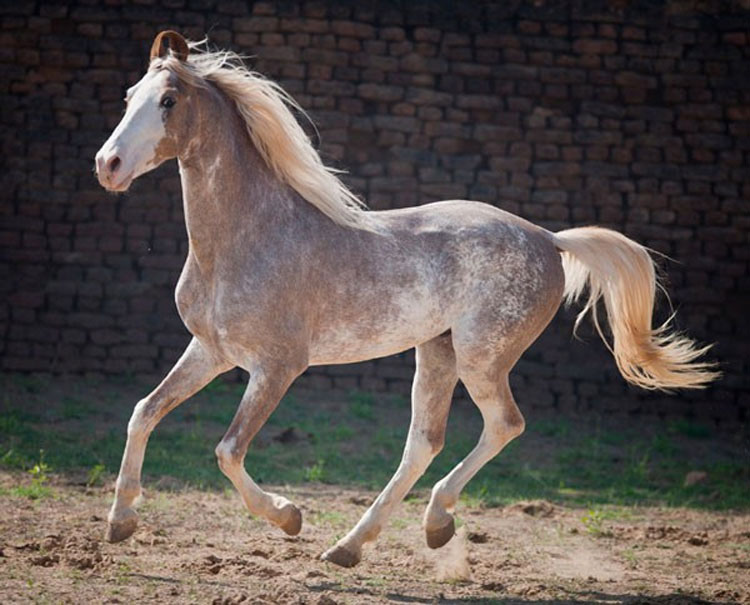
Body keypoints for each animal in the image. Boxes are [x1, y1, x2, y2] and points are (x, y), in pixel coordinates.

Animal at [95, 30, 724, 568]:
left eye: (169, 100)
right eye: (128, 97)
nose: (108, 165)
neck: (246, 239)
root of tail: (550, 239)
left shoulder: (277, 367)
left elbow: (227, 450)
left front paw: (290, 517)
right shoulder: (211, 350)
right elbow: (143, 412)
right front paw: (120, 523)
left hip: (481, 356)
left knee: (504, 425)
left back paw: (434, 523)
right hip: (437, 352)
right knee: (424, 442)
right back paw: (351, 547)